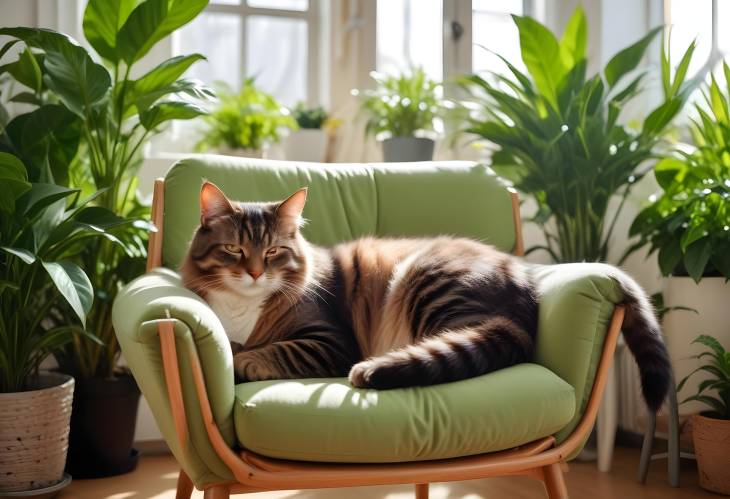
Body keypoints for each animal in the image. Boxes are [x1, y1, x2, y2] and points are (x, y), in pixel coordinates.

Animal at [182, 182, 672, 412]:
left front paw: (243, 357)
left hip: (424, 284)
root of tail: (522, 282)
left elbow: (268, 350)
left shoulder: (329, 341)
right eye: (234, 250)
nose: (254, 273)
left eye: (273, 253)